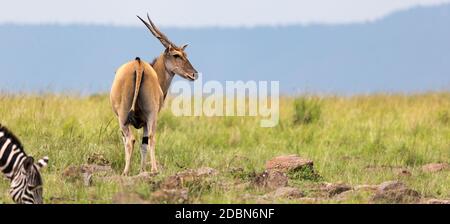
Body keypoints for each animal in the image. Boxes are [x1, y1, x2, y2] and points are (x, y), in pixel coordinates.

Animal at [110, 14, 198, 175]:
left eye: (185, 54)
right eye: (177, 55)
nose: (194, 74)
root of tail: (138, 64)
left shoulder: (141, 120)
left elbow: (140, 143)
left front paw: (141, 170)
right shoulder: (145, 121)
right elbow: (144, 143)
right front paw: (142, 170)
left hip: (127, 116)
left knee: (133, 139)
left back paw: (131, 171)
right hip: (146, 115)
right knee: (147, 138)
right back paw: (150, 170)